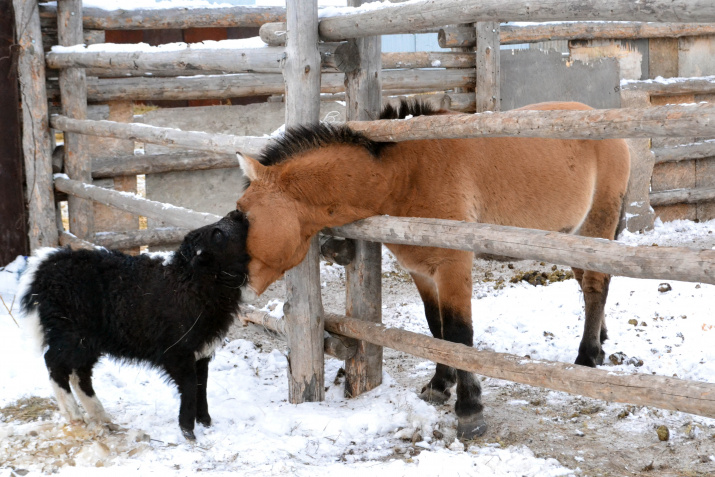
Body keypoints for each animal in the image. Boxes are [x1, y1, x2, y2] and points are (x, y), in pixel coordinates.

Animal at [19, 210, 250, 436]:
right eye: (217, 235)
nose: (237, 213)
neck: (190, 281)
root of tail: (45, 264)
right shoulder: (176, 352)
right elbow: (191, 385)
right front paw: (187, 430)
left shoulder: (201, 352)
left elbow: (202, 386)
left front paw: (205, 421)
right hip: (69, 331)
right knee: (54, 363)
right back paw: (74, 415)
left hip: (88, 339)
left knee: (80, 373)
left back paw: (101, 417)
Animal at [236, 100, 632, 438]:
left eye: (243, 215)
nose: (239, 285)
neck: (405, 174)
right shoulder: (422, 271)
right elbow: (436, 329)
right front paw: (440, 385)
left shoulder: (452, 265)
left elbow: (458, 334)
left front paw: (470, 409)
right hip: (573, 238)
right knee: (590, 284)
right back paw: (599, 343)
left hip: (596, 225)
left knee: (595, 286)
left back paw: (586, 356)